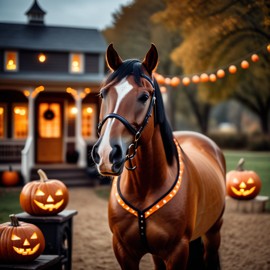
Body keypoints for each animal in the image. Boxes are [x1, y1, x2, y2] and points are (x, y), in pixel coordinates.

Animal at [92, 43, 227, 268]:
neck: (144, 188)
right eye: (103, 94)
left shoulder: (178, 251)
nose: (106, 153)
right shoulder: (123, 251)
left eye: (144, 97)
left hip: (213, 232)